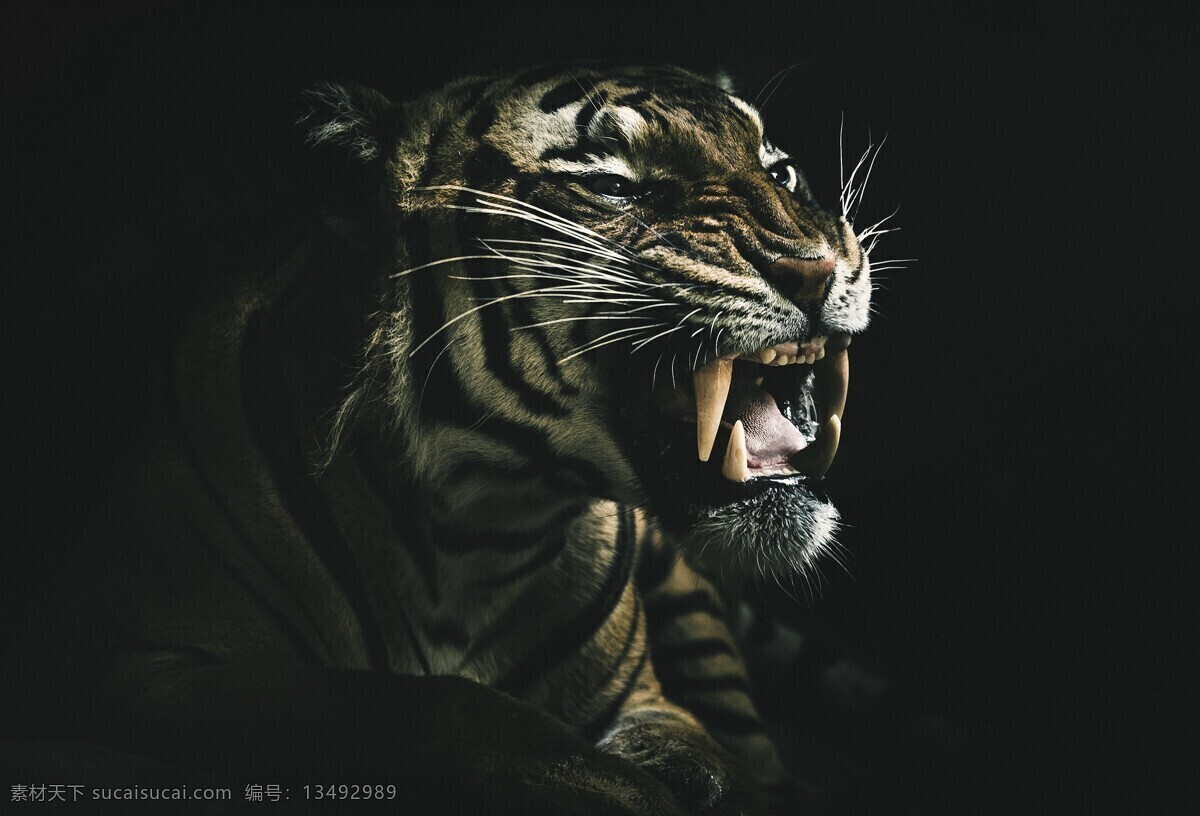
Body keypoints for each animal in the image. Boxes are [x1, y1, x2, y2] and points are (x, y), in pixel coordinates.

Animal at [53, 64, 872, 815]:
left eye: (781, 172)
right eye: (614, 186)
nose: (821, 268)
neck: (482, 528)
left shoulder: (648, 700)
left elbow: (708, 763)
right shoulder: (149, 665)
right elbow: (435, 705)